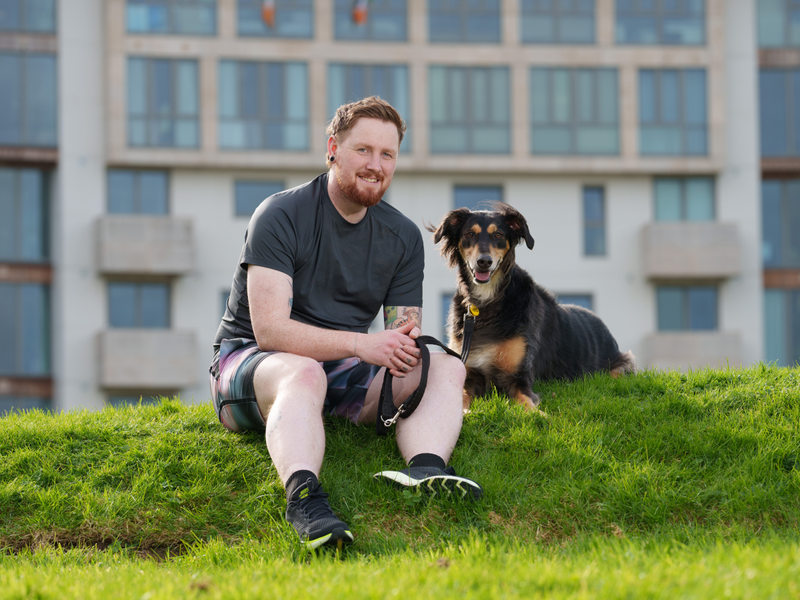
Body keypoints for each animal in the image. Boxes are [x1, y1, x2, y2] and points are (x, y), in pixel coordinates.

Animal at [428, 203, 636, 412]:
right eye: (469, 234)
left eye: (498, 235)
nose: (484, 262)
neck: (488, 300)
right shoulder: (468, 373)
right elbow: (460, 396)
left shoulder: (518, 377)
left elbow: (525, 402)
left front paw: (538, 415)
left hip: (623, 366)